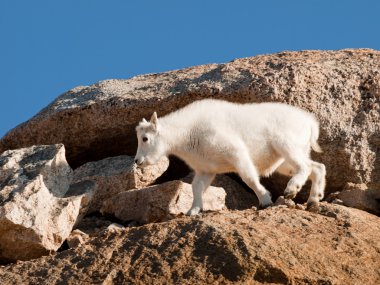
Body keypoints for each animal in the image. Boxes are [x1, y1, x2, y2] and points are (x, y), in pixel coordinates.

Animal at [134, 98, 326, 214]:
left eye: (145, 138)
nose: (137, 161)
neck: (187, 133)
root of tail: (310, 123)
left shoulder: (235, 152)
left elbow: (249, 178)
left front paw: (265, 200)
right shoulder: (206, 169)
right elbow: (196, 187)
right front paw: (193, 210)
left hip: (287, 144)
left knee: (305, 166)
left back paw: (292, 189)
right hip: (285, 160)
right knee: (317, 167)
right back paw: (313, 201)